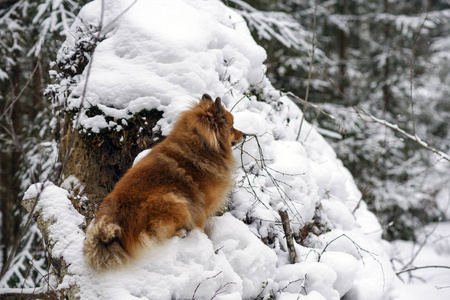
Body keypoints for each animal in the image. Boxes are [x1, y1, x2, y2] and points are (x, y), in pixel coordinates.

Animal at [82, 94, 244, 272]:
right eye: (231, 128)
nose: (244, 134)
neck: (201, 147)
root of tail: (118, 224)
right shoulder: (200, 209)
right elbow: (199, 228)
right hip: (176, 201)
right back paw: (180, 233)